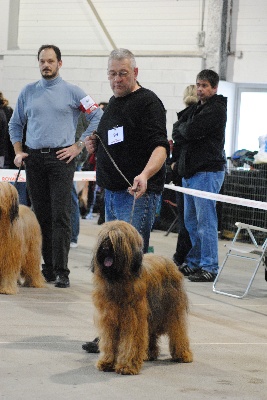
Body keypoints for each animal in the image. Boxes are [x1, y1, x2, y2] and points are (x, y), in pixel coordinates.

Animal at [91, 220, 193, 376]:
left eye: (118, 238)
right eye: (105, 237)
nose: (105, 248)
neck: (118, 279)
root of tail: (169, 261)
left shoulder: (133, 318)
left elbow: (131, 341)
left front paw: (127, 366)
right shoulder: (109, 319)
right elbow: (109, 342)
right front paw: (107, 362)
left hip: (172, 310)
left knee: (178, 331)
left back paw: (183, 354)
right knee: (151, 334)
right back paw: (149, 354)